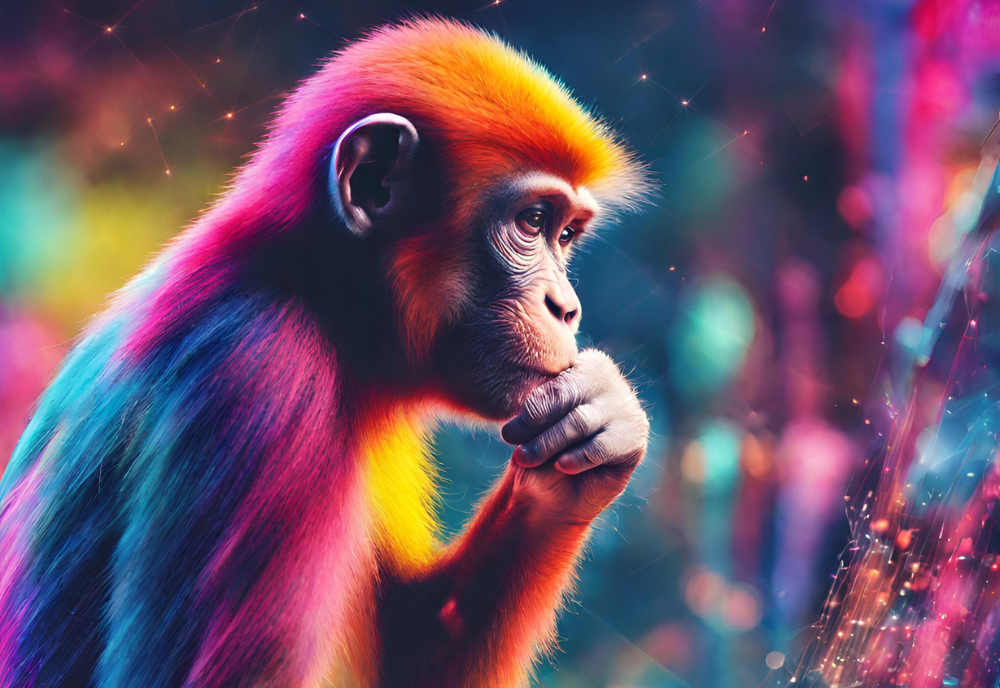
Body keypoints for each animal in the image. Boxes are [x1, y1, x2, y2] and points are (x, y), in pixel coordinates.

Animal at [0, 18, 651, 688]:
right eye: (531, 222)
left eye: (565, 234)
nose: (566, 308)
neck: (303, 288)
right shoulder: (261, 373)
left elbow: (412, 647)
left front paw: (602, 420)